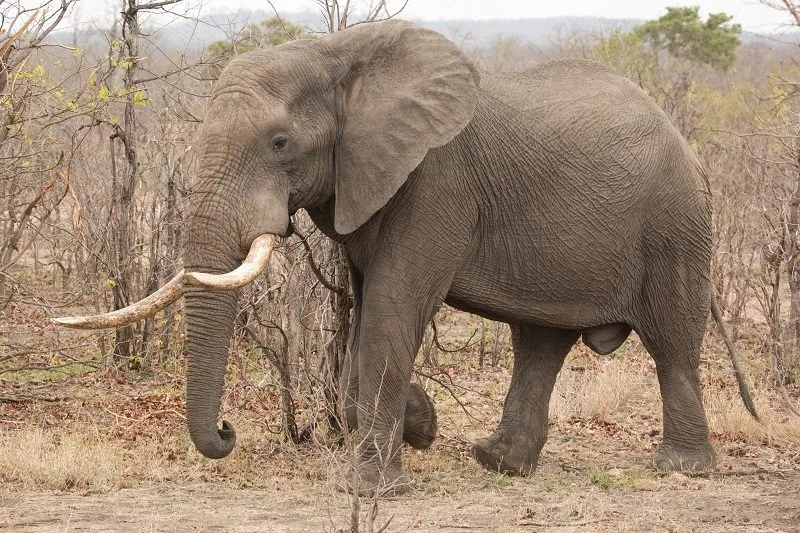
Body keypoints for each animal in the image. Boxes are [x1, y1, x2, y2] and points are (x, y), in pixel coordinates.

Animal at [55, 19, 757, 495]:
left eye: (280, 143)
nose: (227, 432)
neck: (338, 57)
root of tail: (682, 139)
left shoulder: (435, 181)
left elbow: (394, 308)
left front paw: (369, 489)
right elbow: (369, 309)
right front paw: (419, 426)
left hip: (675, 225)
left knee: (671, 342)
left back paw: (682, 469)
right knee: (540, 341)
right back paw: (498, 462)